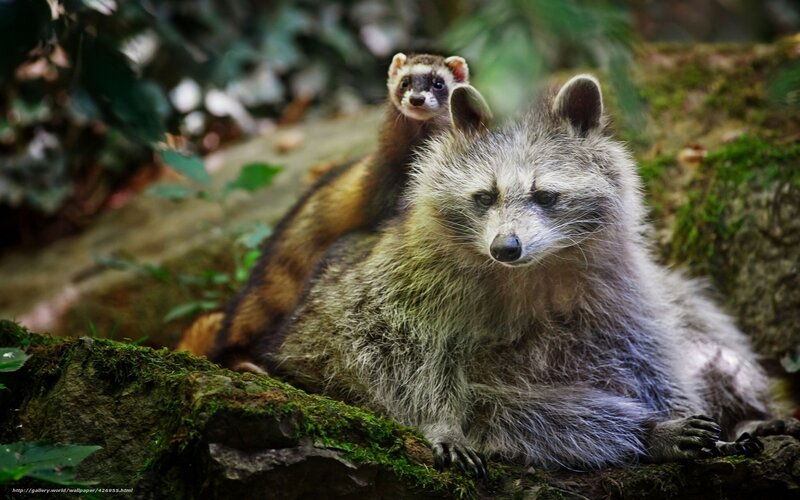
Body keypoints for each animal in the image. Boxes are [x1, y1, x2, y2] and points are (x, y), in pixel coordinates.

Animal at [176, 53, 476, 369]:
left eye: (438, 82)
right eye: (405, 81)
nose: (417, 98)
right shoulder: (385, 185)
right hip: (271, 295)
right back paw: (246, 363)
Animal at [267, 77, 785, 475]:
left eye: (545, 196)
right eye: (484, 196)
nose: (505, 248)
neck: (533, 267)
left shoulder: (614, 281)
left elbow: (642, 348)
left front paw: (679, 404)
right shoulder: (408, 284)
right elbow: (388, 349)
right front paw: (439, 420)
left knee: (709, 340)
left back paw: (745, 414)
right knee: (515, 410)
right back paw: (643, 431)